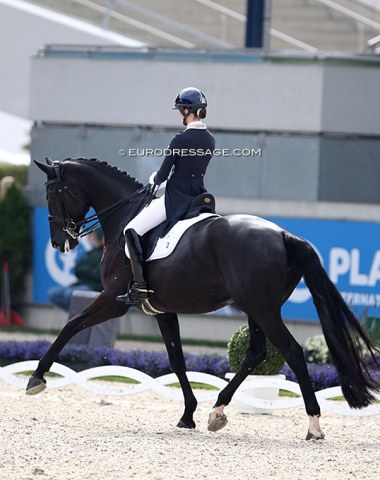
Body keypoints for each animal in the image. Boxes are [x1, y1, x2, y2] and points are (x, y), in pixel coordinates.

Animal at [30, 157, 380, 438]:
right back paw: (218, 411)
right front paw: (188, 414)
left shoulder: (112, 301)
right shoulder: (161, 310)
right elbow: (177, 359)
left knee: (291, 351)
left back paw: (313, 426)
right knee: (256, 352)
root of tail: (283, 234)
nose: (59, 243)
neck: (125, 215)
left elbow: (71, 326)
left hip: (263, 309)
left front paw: (36, 378)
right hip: (257, 308)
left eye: (50, 192)